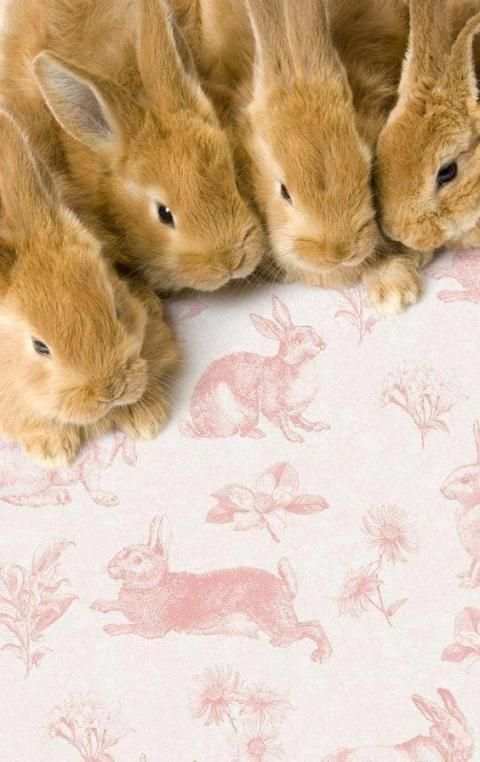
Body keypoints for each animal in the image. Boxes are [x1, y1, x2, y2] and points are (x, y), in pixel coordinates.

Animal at [92, 515, 333, 663]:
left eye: (138, 560)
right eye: (122, 551)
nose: (110, 566)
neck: (153, 584)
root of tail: (284, 587)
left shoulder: (153, 627)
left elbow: (133, 626)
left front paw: (111, 628)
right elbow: (119, 604)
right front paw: (99, 605)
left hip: (270, 617)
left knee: (305, 629)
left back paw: (312, 652)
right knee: (311, 624)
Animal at [181, 296, 329, 444]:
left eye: (312, 328)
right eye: (298, 340)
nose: (322, 345)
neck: (293, 364)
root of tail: (202, 429)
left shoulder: (297, 410)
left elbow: (300, 420)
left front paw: (317, 425)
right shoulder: (274, 405)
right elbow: (283, 422)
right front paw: (294, 437)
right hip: (247, 413)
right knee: (242, 432)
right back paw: (258, 434)